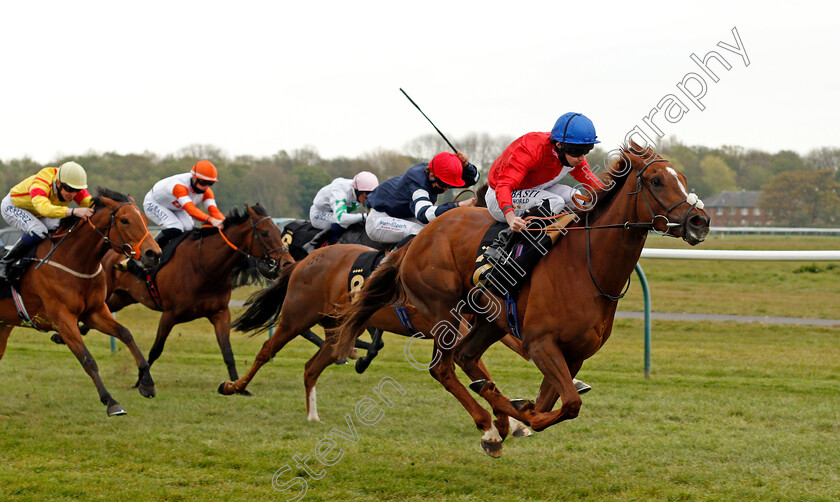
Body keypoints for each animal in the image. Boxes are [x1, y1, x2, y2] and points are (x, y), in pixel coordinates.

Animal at [0, 188, 161, 416]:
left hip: (3, 326)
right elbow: (88, 359)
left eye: (145, 220)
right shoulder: (63, 321)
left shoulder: (95, 312)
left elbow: (125, 334)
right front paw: (111, 402)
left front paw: (147, 383)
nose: (154, 254)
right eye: (125, 220)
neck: (73, 260)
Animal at [92, 204, 292, 388]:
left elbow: (227, 352)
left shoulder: (220, 313)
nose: (287, 261)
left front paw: (236, 385)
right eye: (265, 233)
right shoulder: (169, 315)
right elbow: (156, 350)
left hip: (121, 298)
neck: (204, 265)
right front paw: (141, 381)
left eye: (278, 231)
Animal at [218, 243, 532, 436]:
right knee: (266, 351)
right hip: (296, 317)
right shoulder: (454, 328)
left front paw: (515, 420)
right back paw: (234, 386)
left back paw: (313, 415)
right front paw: (510, 420)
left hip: (339, 330)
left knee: (311, 367)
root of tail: (302, 262)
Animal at [334, 143, 708, 456]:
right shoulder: (541, 343)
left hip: (490, 320)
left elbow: (553, 402)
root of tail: (418, 237)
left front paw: (516, 412)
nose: (699, 221)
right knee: (444, 368)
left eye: (683, 179)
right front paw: (519, 414)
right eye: (657, 181)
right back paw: (489, 425)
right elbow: (565, 406)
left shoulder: (575, 353)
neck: (584, 266)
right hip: (445, 312)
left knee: (467, 357)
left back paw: (495, 416)